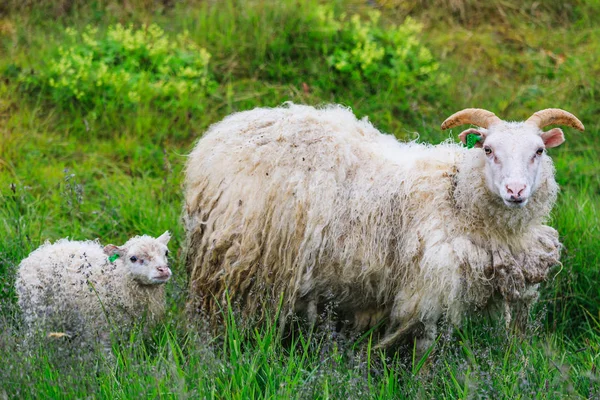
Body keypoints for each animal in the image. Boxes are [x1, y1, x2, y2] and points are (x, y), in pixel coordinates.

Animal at [183, 103, 580, 350]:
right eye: (488, 150)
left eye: (539, 151)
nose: (516, 191)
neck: (456, 195)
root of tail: (217, 138)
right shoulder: (430, 284)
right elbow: (425, 347)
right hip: (237, 262)